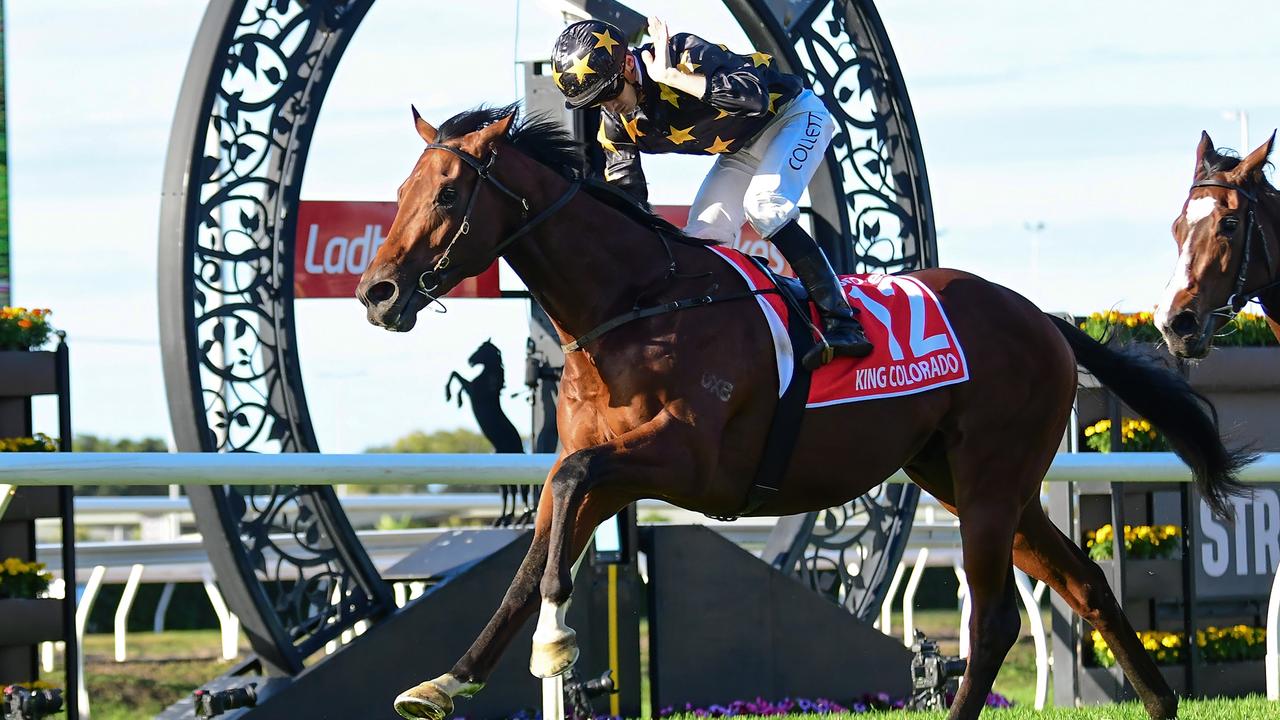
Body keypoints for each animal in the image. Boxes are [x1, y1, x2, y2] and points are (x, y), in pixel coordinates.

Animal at [358, 106, 1249, 717]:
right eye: (399, 192)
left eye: (446, 194)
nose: (378, 292)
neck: (635, 304)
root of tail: (1043, 318)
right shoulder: (607, 471)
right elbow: (533, 549)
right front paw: (448, 681)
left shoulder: (687, 460)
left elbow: (568, 497)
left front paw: (555, 640)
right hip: (972, 480)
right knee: (1085, 580)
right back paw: (1161, 701)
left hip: (991, 483)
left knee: (995, 620)